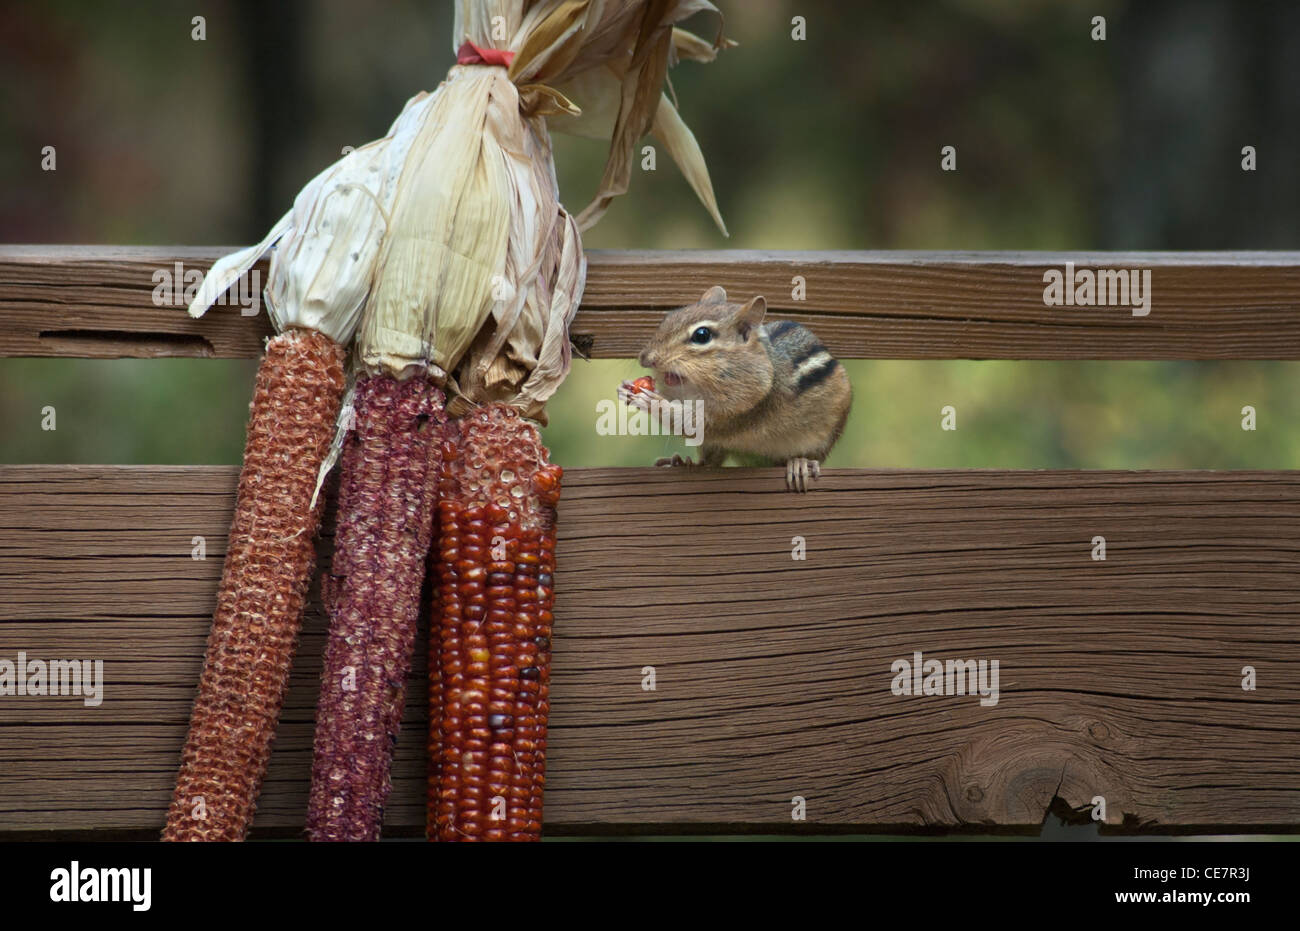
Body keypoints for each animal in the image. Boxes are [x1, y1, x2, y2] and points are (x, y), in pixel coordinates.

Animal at [619, 286, 852, 491]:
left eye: (701, 335)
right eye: (667, 318)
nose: (645, 358)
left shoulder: (742, 410)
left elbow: (692, 423)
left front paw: (653, 402)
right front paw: (626, 389)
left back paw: (800, 463)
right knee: (710, 462)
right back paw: (683, 463)